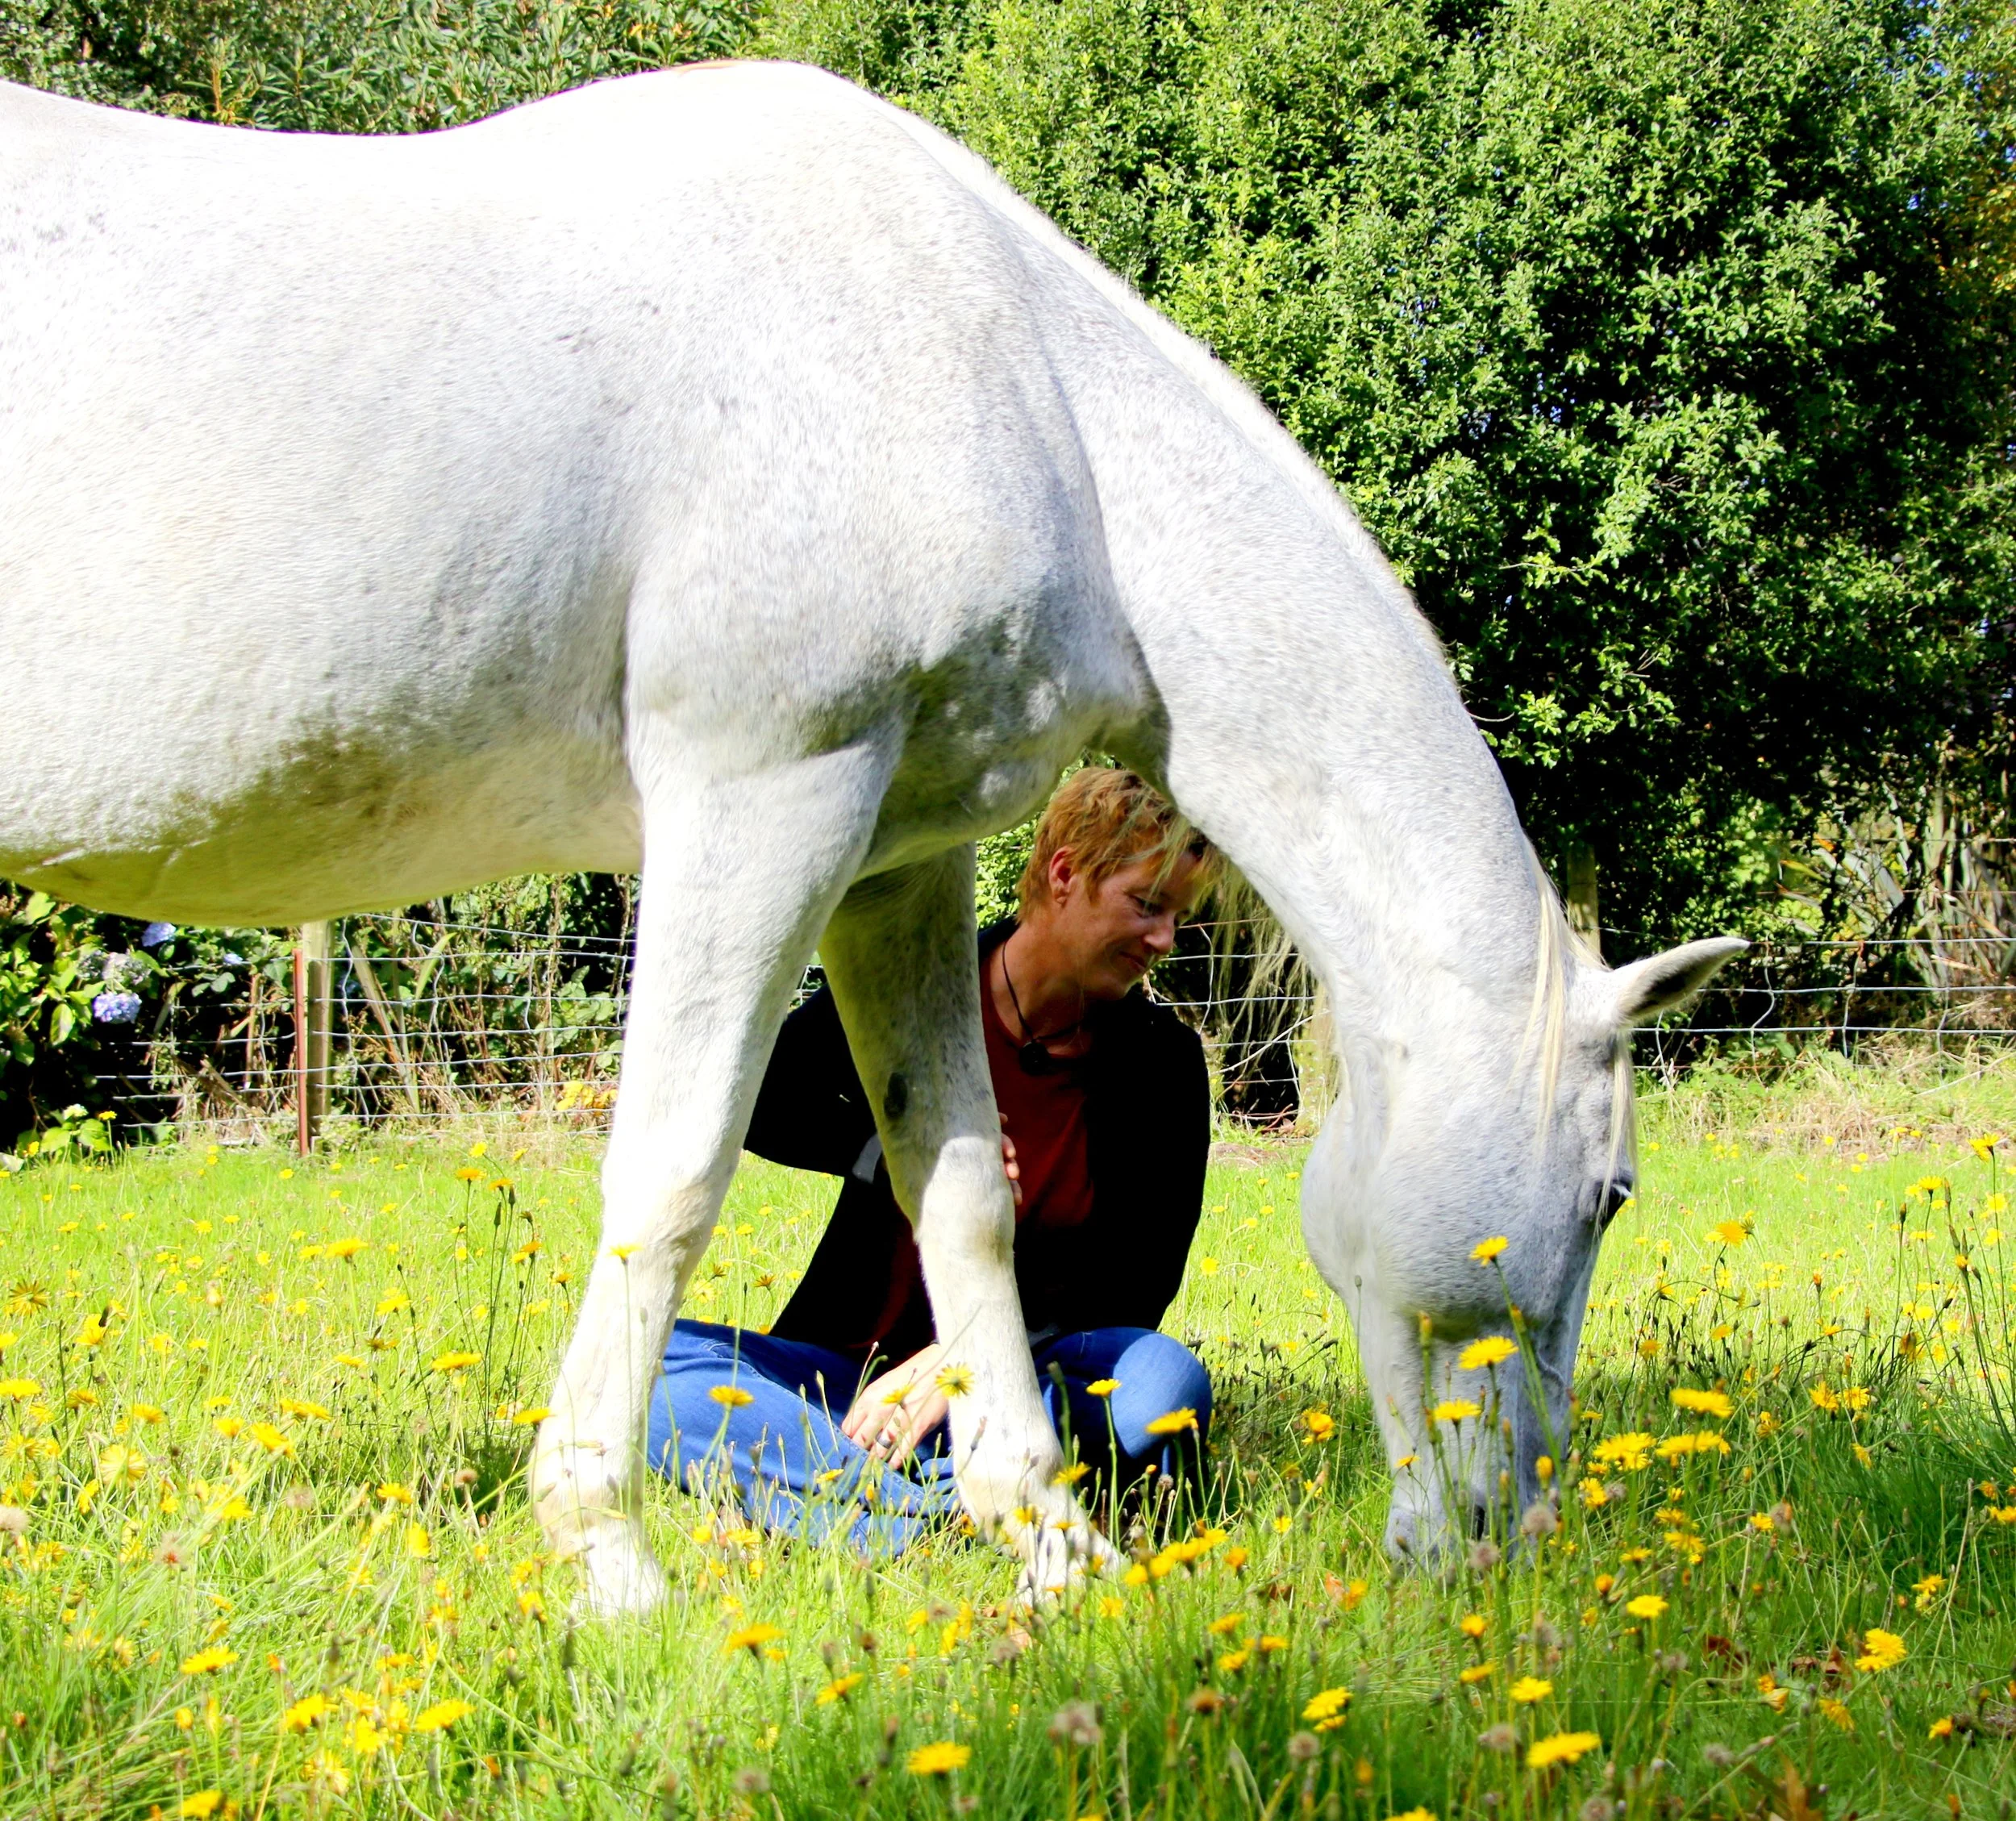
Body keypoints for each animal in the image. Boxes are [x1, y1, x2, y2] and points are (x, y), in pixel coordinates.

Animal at [0, 59, 1742, 1613]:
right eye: (1608, 1195)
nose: (1510, 1529)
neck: (1014, 381)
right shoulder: (763, 796)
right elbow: (672, 1172)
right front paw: (608, 1556)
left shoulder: (897, 859)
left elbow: (960, 1192)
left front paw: (1046, 1542)